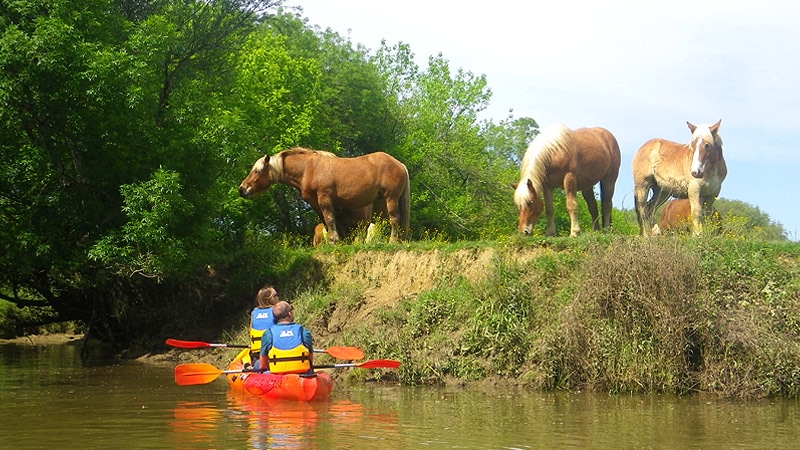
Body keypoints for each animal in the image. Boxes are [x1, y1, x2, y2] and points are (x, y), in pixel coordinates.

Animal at [239, 148, 410, 243]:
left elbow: (329, 219)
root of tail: (400, 164)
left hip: (391, 198)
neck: (309, 169)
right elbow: (329, 223)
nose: (242, 189)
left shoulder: (324, 199)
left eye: (257, 171)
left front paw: (334, 241)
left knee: (395, 219)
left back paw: (393, 241)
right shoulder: (316, 204)